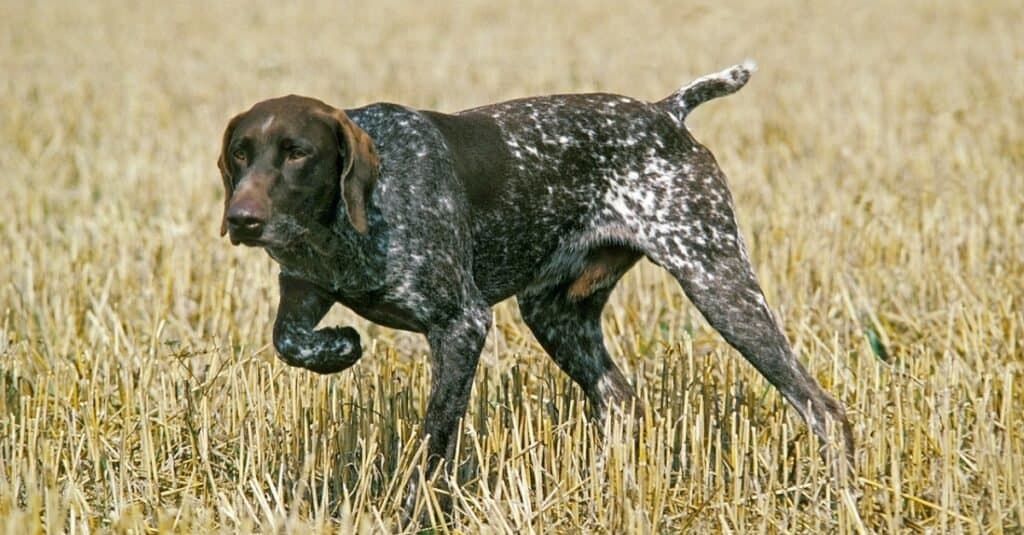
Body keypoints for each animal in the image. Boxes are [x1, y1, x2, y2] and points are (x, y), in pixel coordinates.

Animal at [218, 62, 856, 516]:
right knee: (620, 400)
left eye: (298, 154)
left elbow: (434, 438)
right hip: (555, 313)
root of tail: (665, 114)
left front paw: (416, 512)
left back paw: (838, 496)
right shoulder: (304, 286)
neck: (350, 223)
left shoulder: (462, 323)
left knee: (822, 409)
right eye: (240, 154)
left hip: (717, 279)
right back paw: (607, 492)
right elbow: (288, 339)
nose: (241, 219)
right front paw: (337, 349)